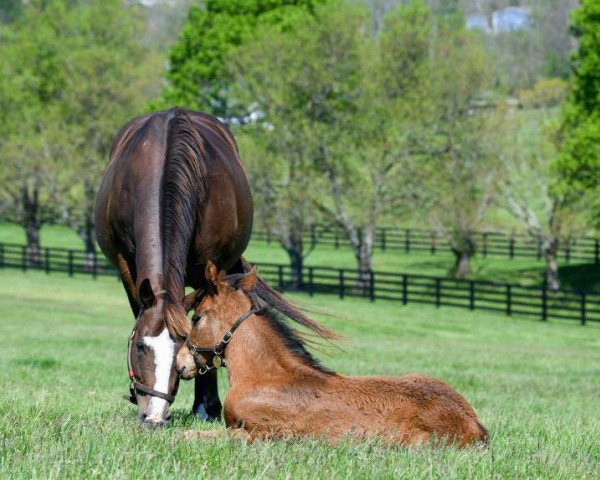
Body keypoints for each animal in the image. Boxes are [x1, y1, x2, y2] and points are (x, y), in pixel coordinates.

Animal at [176, 262, 486, 446]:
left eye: (196, 318)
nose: (180, 363)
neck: (266, 377)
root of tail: (473, 424)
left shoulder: (261, 434)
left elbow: (190, 435)